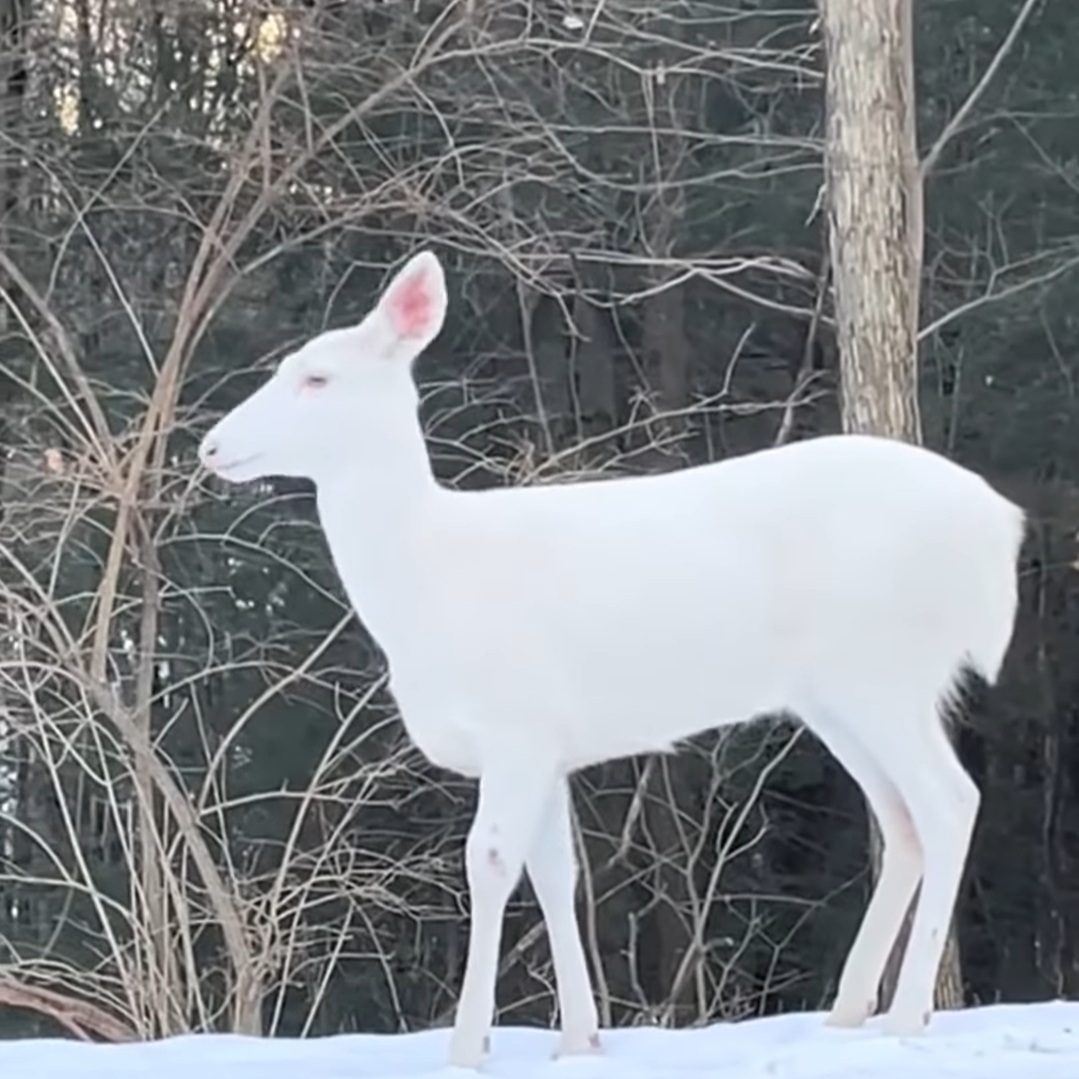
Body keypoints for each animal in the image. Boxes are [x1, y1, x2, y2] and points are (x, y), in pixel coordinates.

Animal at [196, 248, 1027, 1066]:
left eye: (317, 377)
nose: (211, 445)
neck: (429, 582)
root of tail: (998, 526)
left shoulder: (518, 723)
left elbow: (488, 861)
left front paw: (467, 1045)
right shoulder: (548, 743)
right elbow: (556, 872)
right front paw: (580, 1035)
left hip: (881, 667)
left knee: (948, 800)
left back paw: (906, 1014)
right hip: (837, 693)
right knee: (901, 817)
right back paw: (847, 1013)